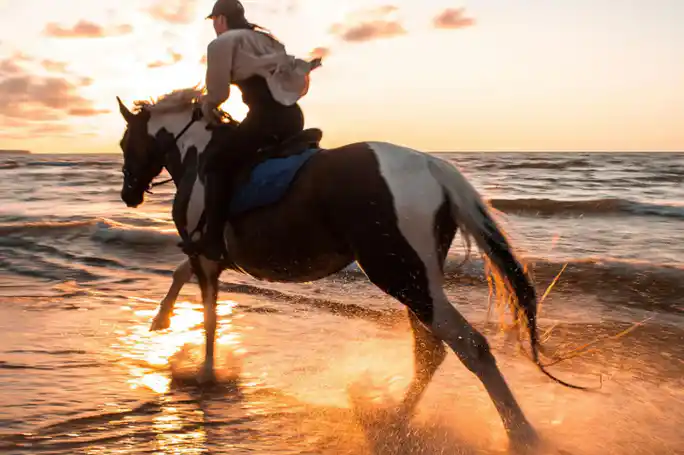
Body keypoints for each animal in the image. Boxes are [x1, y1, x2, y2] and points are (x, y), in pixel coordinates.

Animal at [115, 87, 579, 450]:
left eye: (124, 142)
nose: (128, 194)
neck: (197, 155)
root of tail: (433, 168)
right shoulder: (208, 255)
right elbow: (181, 276)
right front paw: (160, 321)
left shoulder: (207, 254)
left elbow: (210, 317)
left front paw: (205, 373)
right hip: (413, 277)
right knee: (432, 350)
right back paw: (395, 415)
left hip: (400, 274)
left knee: (469, 346)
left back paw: (520, 434)